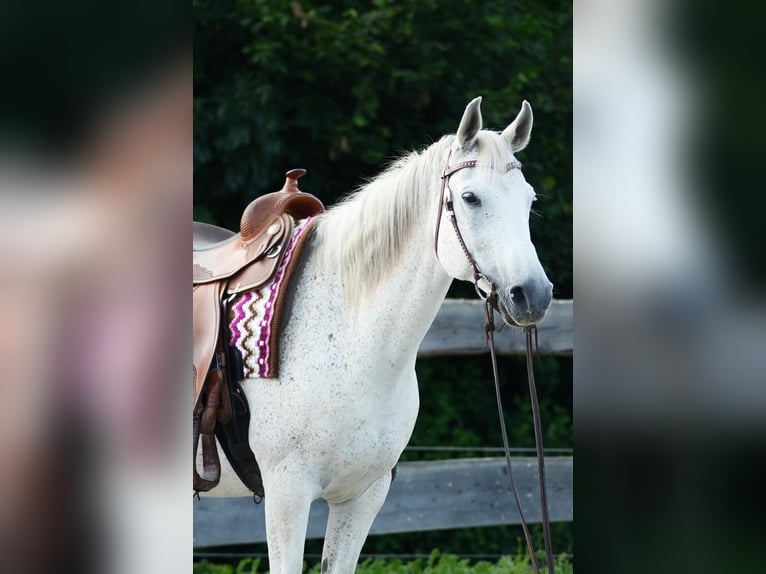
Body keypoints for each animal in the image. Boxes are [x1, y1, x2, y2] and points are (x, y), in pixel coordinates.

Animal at [228, 97, 552, 572]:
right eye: (470, 197)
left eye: (529, 200)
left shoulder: (363, 496)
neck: (348, 339)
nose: (533, 294)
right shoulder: (287, 494)